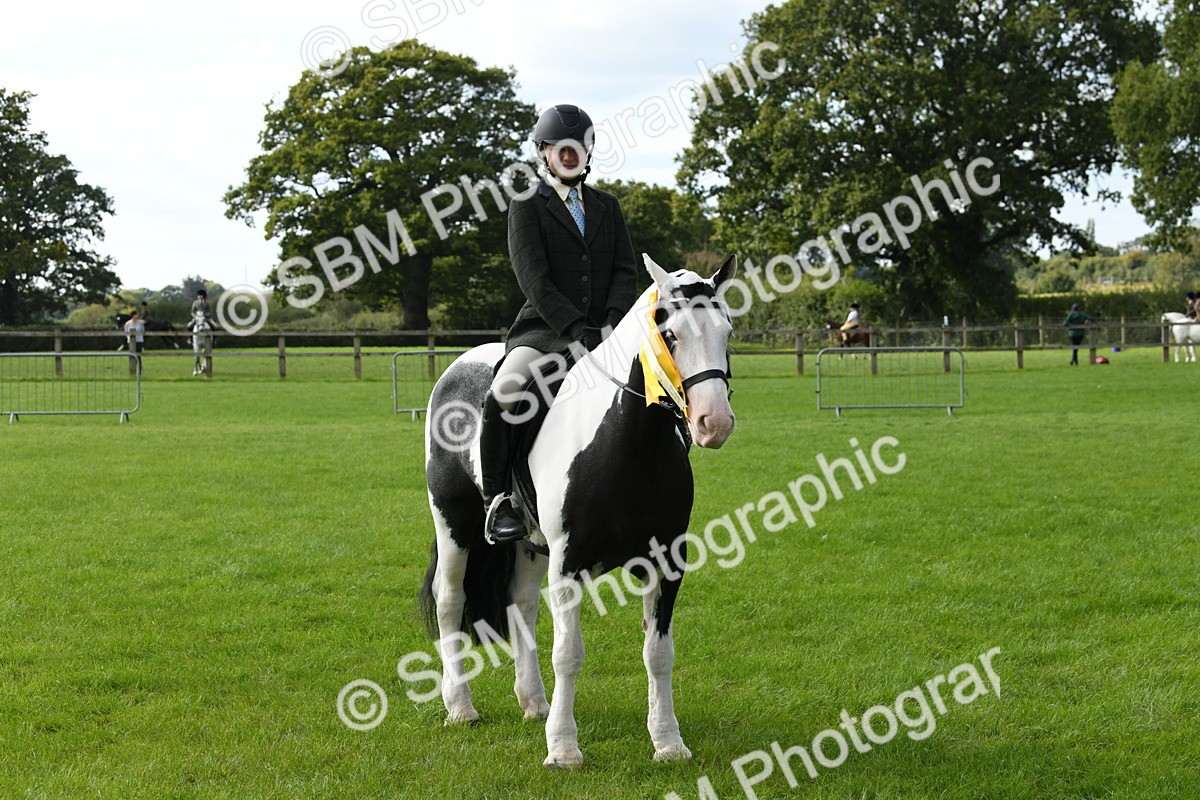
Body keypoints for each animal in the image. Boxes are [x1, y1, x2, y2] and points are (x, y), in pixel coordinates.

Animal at [419, 254, 737, 768]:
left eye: (727, 330)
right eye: (670, 334)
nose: (715, 423)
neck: (627, 441)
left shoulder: (667, 564)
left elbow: (658, 653)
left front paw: (668, 743)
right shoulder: (568, 566)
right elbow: (568, 653)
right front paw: (564, 749)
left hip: (528, 545)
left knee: (521, 605)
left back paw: (534, 702)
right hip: (454, 523)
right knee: (450, 601)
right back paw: (460, 708)